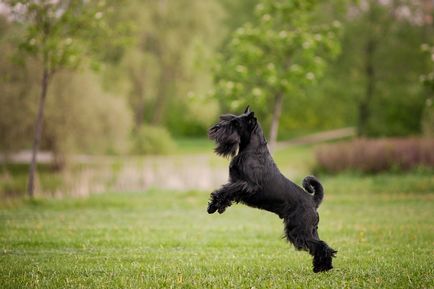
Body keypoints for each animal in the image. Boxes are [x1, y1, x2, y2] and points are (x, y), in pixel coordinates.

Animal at [206, 106, 336, 272]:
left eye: (235, 123)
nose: (215, 128)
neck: (252, 150)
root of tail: (313, 200)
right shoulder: (235, 182)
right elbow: (227, 192)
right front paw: (215, 206)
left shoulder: (247, 185)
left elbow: (226, 190)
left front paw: (215, 204)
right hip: (309, 230)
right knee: (321, 245)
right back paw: (321, 266)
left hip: (299, 230)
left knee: (321, 246)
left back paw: (323, 267)